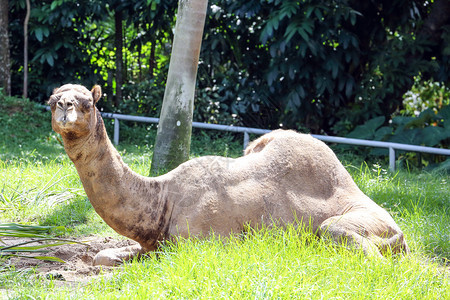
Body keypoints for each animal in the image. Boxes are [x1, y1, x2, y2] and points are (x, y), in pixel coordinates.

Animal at [47, 84, 410, 264]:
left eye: (88, 103)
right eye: (52, 101)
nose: (65, 107)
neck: (163, 198)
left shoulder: (197, 243)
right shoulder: (154, 242)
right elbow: (104, 255)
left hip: (359, 222)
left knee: (353, 242)